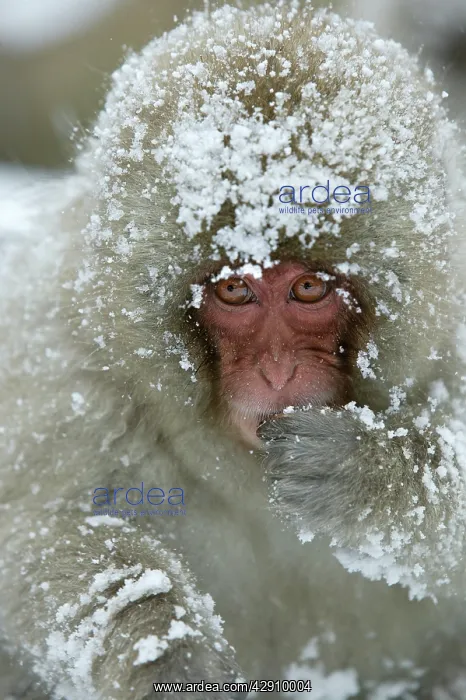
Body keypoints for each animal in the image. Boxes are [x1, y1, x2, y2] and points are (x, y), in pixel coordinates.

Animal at [2, 1, 466, 699]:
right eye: (234, 290)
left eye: (307, 289)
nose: (276, 373)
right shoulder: (73, 374)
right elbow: (30, 537)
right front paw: (161, 648)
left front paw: (368, 472)